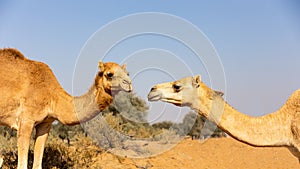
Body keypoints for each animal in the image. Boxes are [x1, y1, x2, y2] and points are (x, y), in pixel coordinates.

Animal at [0, 48, 132, 168]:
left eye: (127, 73)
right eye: (109, 74)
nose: (129, 83)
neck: (52, 96)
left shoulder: (45, 124)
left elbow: (38, 164)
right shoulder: (26, 121)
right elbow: (22, 165)